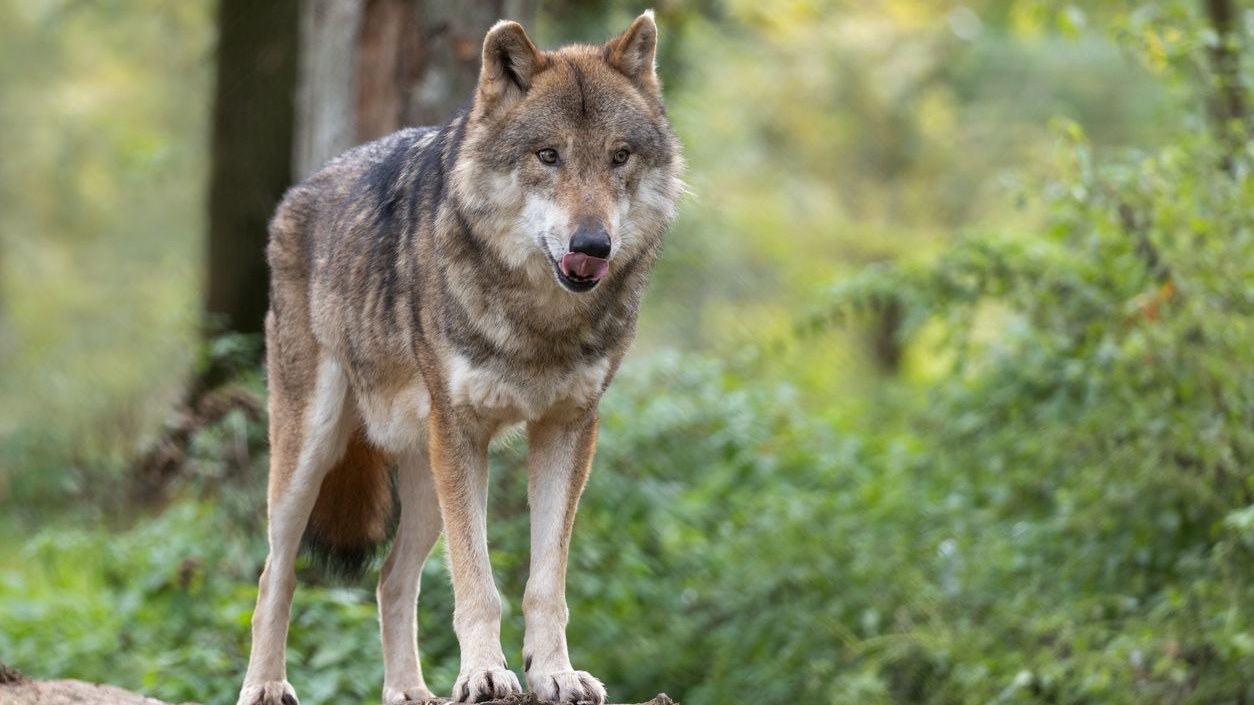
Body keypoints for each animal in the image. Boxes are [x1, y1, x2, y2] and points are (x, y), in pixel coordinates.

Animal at [236, 11, 683, 705]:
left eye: (619, 156)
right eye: (548, 155)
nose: (593, 244)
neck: (539, 323)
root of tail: (298, 192)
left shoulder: (568, 430)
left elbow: (544, 584)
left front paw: (554, 674)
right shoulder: (463, 433)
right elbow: (479, 586)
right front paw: (485, 674)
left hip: (425, 480)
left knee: (392, 578)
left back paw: (410, 692)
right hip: (311, 455)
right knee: (273, 574)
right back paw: (265, 685)